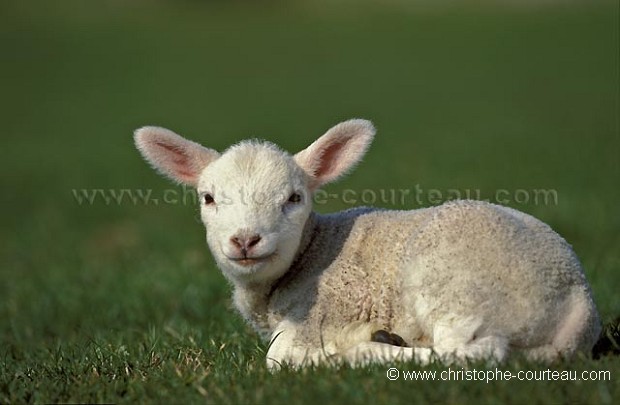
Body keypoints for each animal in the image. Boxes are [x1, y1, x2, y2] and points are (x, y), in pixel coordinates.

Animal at [134, 118, 600, 368]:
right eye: (208, 198)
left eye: (294, 198)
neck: (312, 253)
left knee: (471, 354)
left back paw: (363, 352)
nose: (245, 239)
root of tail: (578, 300)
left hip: (456, 289)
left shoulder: (317, 320)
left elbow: (278, 358)